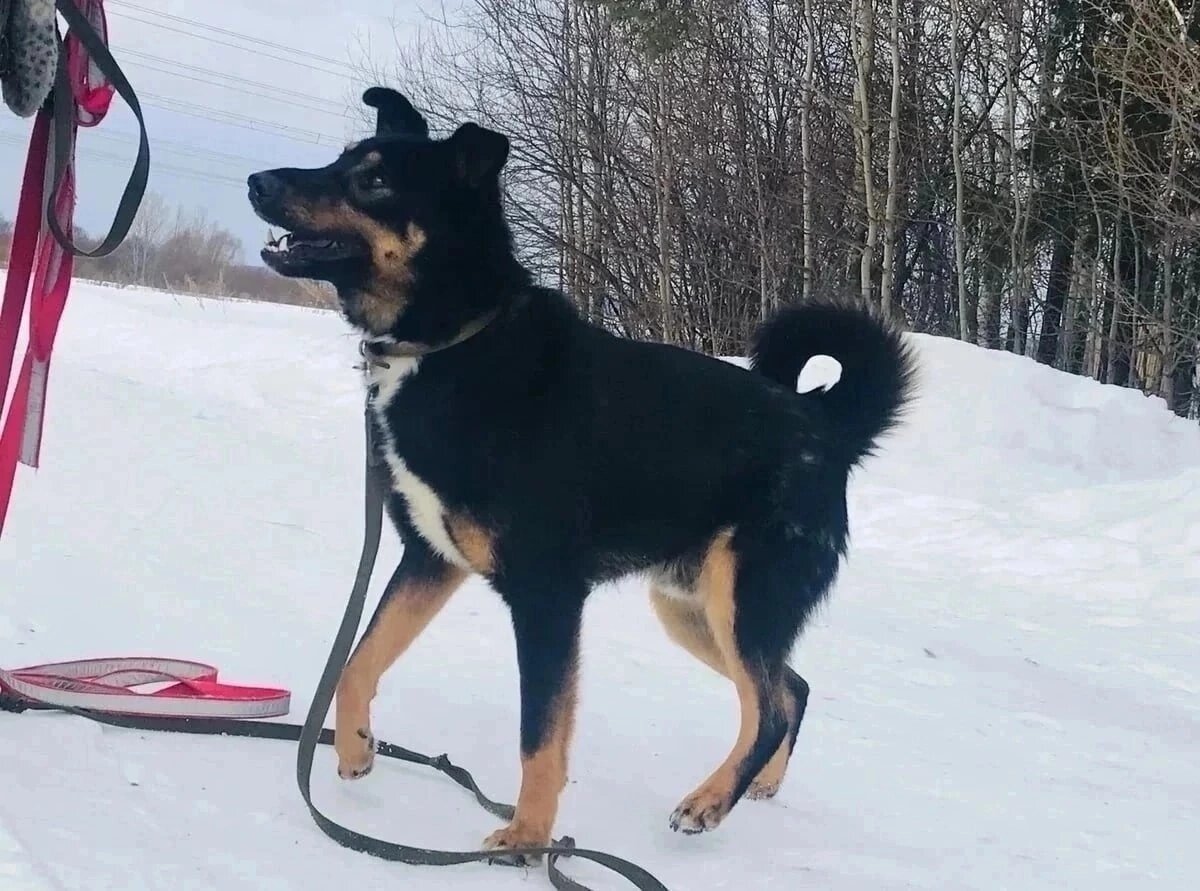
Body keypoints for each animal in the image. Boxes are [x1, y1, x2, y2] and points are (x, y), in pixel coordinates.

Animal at [248, 88, 912, 859]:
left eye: (374, 180)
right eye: (342, 161)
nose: (257, 182)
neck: (455, 341)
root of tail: (823, 422)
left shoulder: (547, 595)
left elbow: (541, 735)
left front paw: (527, 837)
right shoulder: (430, 559)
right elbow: (357, 660)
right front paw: (355, 746)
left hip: (742, 597)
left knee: (769, 704)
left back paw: (708, 803)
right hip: (694, 607)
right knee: (789, 687)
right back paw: (756, 786)